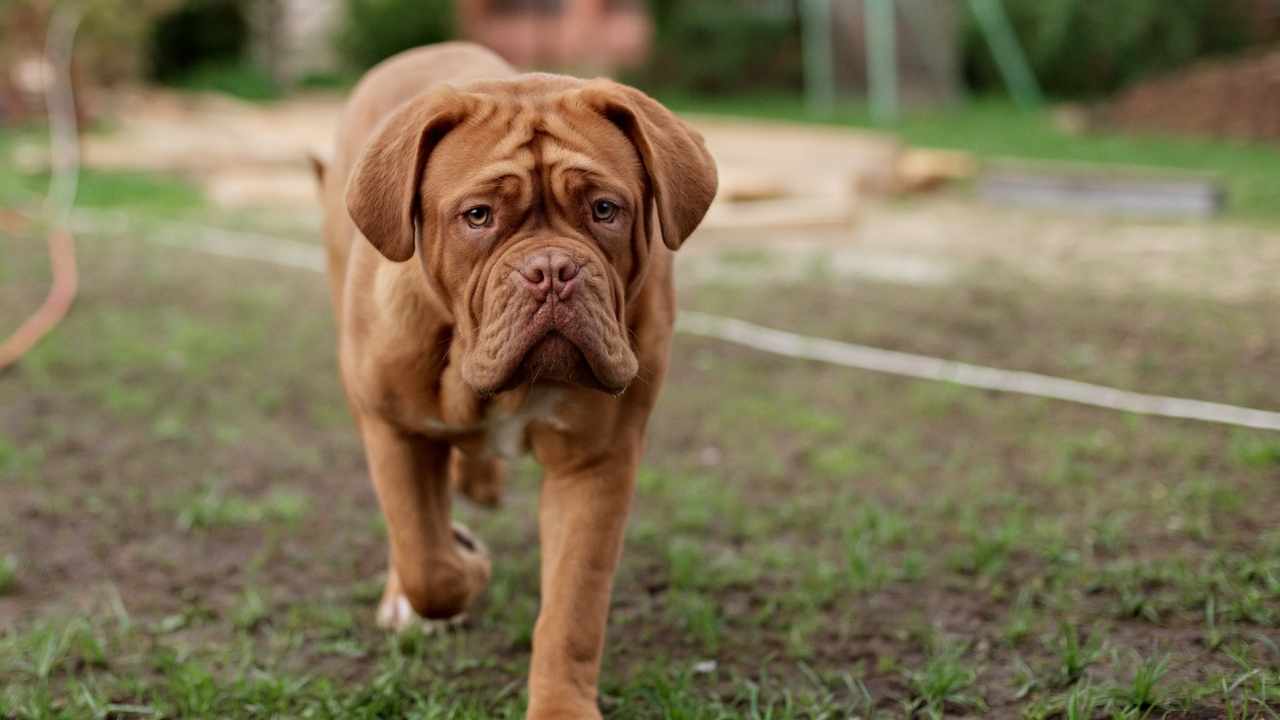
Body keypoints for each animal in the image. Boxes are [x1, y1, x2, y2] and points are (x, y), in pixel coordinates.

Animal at [317, 44, 721, 717]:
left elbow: (573, 606)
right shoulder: (392, 428)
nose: (552, 269)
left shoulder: (596, 462)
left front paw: (560, 704)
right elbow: (427, 560)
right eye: (478, 216)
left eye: (604, 209)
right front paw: (465, 568)